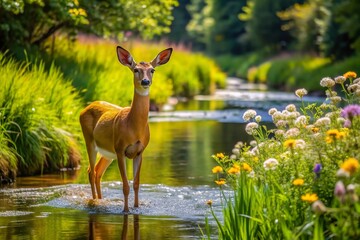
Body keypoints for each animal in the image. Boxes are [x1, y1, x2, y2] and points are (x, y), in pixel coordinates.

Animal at [78, 45, 173, 212]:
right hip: (89, 140)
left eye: (152, 70)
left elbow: (136, 184)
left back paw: (101, 200)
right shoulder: (120, 148)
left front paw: (136, 207)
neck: (133, 127)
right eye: (136, 69)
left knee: (97, 172)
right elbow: (125, 185)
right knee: (90, 171)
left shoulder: (139, 151)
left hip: (107, 153)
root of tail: (86, 108)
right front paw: (126, 210)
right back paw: (95, 201)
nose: (145, 81)